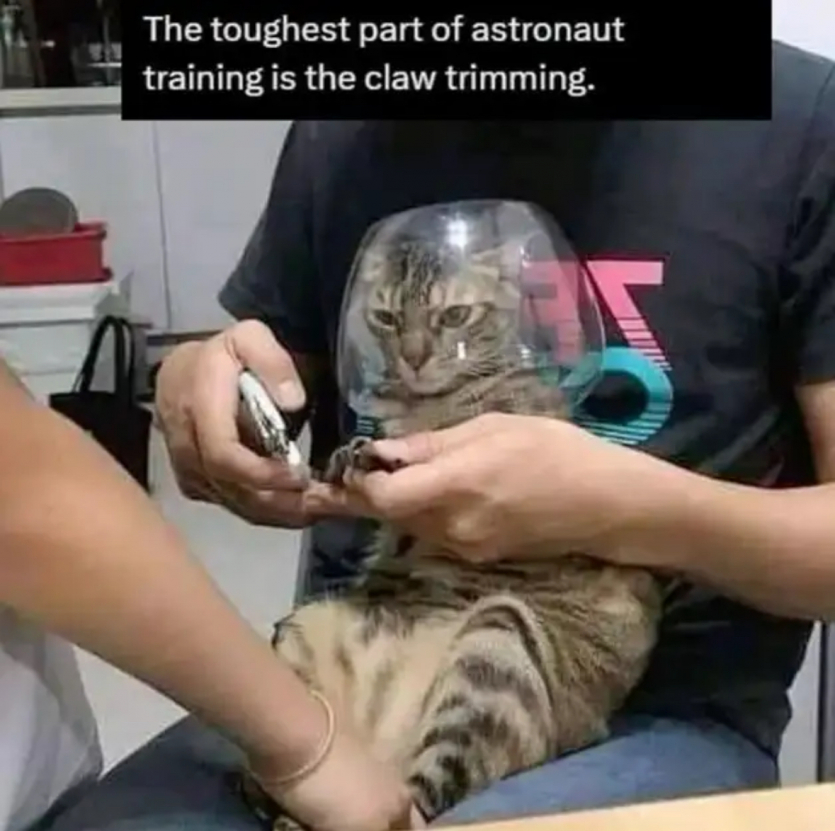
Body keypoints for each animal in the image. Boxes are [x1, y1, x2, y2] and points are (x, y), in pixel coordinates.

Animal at [240, 236, 663, 830]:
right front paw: (351, 457)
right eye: (388, 318)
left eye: (455, 315)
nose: (414, 356)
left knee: (421, 799)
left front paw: (375, 457)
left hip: (498, 643)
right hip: (302, 633)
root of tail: (377, 751)